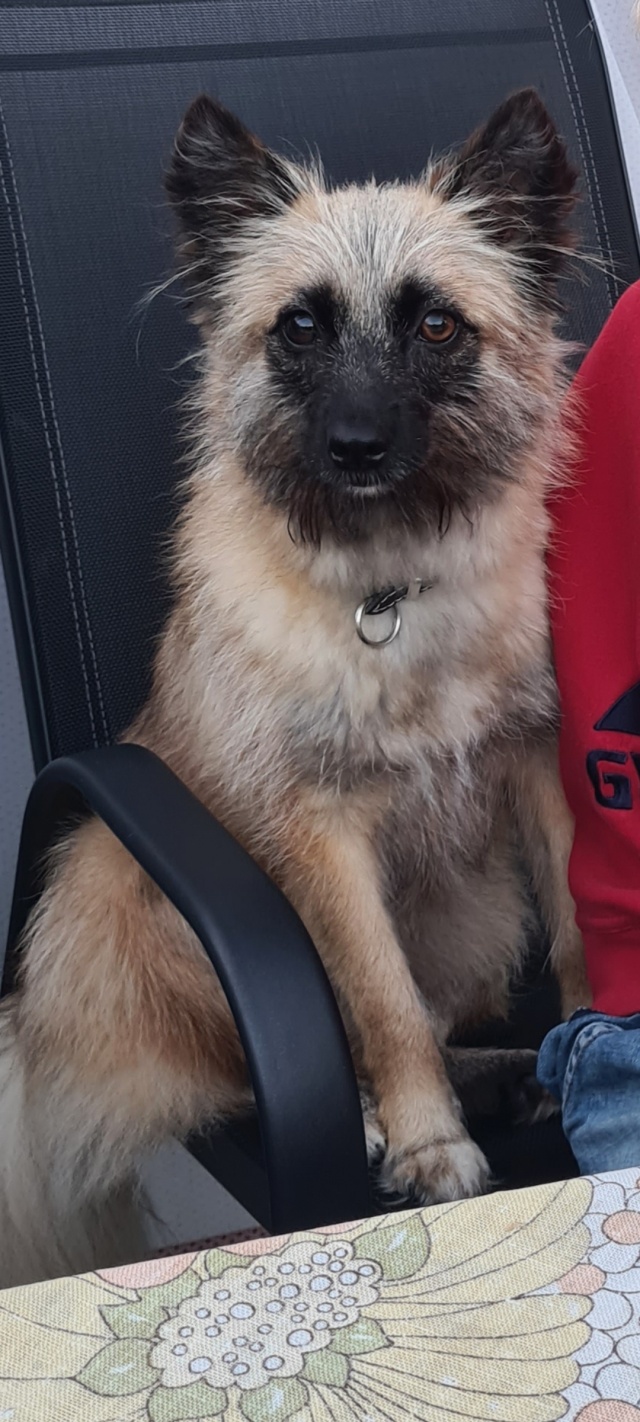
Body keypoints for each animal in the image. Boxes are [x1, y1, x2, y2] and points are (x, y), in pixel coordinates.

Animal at [0, 87, 589, 1287]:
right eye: (300, 329)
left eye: (436, 326)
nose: (355, 446)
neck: (385, 590)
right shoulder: (321, 840)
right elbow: (380, 1004)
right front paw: (427, 1145)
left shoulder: (535, 771)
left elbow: (573, 935)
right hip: (119, 889)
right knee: (245, 1070)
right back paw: (375, 1118)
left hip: (475, 907)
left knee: (449, 1010)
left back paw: (505, 1070)